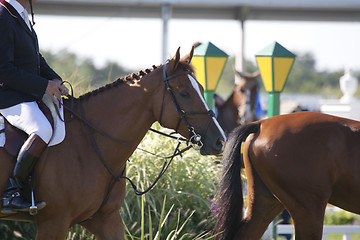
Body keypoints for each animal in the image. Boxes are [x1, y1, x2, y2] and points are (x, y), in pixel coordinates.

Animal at [0, 46, 225, 239]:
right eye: (184, 93)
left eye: (202, 89)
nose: (220, 141)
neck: (88, 142)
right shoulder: (54, 222)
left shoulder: (105, 219)